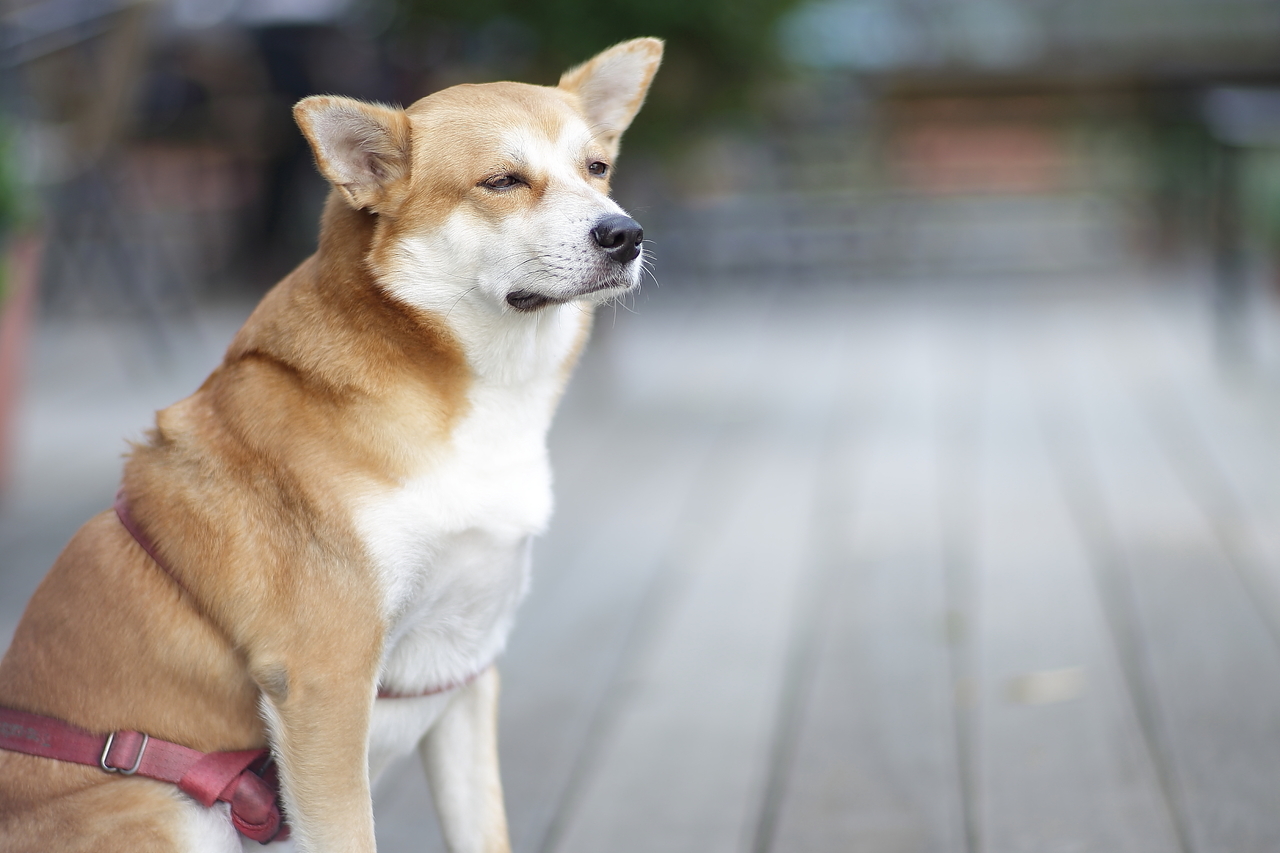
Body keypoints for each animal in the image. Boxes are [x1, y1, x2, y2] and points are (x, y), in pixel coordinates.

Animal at [0, 34, 660, 850]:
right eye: (503, 181)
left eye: (596, 168)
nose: (625, 233)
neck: (478, 404)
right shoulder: (327, 685)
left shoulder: (464, 672)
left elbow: (483, 829)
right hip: (168, 809)